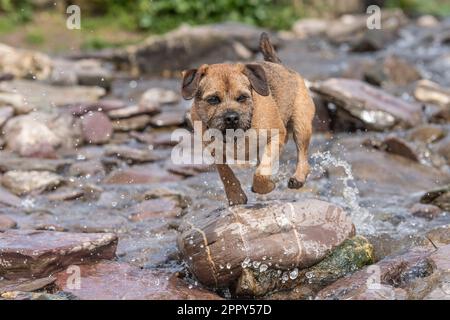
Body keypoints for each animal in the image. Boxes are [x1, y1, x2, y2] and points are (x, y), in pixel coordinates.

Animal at [181, 32, 314, 206]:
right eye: (213, 99)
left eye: (242, 97)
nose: (231, 118)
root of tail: (281, 65)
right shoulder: (214, 149)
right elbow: (225, 172)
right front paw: (235, 195)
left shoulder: (275, 135)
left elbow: (261, 173)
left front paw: (265, 186)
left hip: (301, 125)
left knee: (302, 155)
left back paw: (298, 177)